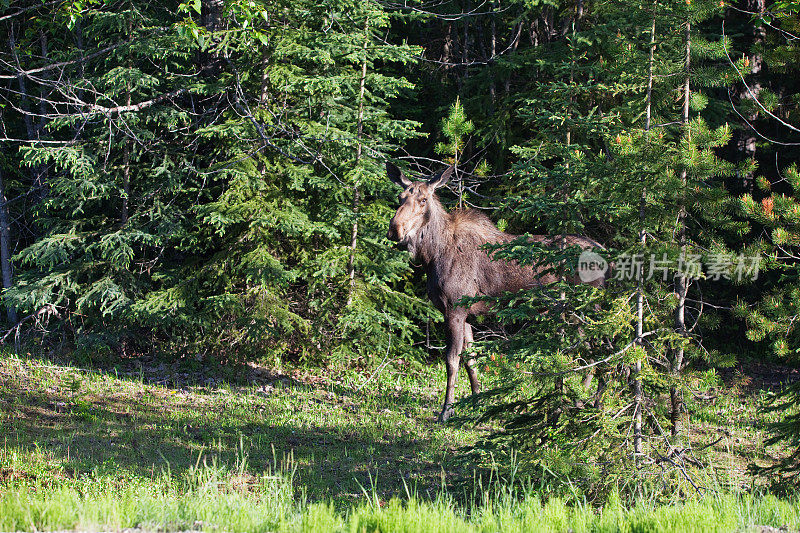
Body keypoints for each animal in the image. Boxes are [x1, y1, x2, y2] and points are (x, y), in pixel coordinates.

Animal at [388, 160, 608, 422]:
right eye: (400, 197)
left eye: (423, 200)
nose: (395, 230)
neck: (432, 255)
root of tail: (607, 256)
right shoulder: (466, 313)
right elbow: (471, 360)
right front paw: (476, 401)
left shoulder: (454, 309)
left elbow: (452, 361)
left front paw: (446, 411)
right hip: (575, 312)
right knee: (592, 350)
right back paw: (581, 398)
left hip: (589, 307)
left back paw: (595, 404)